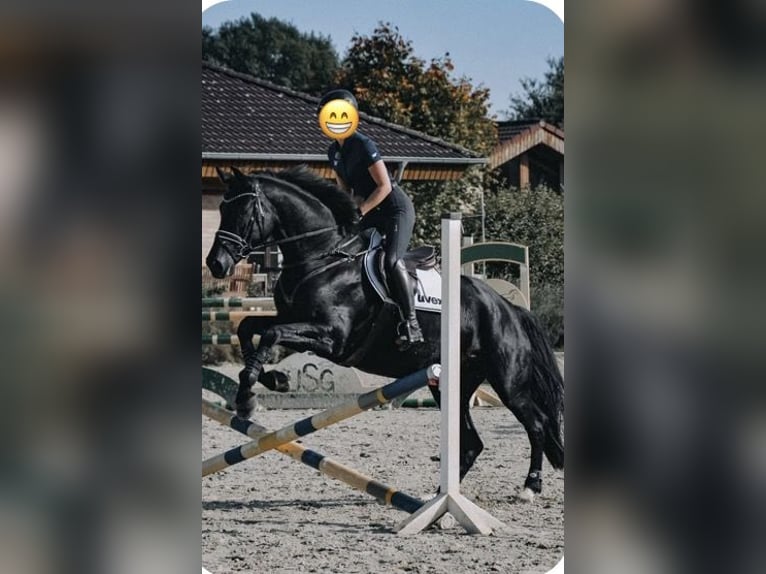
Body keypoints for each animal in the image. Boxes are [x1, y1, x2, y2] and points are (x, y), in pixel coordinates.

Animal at [206, 165, 563, 499]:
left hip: (507, 382)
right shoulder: (292, 318)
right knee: (472, 442)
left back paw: (530, 487)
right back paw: (436, 497)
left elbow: (271, 335)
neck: (323, 257)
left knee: (536, 424)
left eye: (243, 211)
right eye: (222, 208)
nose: (216, 264)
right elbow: (250, 328)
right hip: (452, 384)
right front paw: (263, 384)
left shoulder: (332, 337)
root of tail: (508, 308)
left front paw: (251, 395)